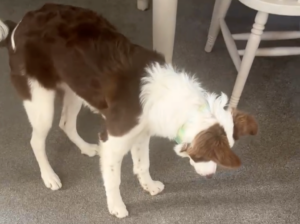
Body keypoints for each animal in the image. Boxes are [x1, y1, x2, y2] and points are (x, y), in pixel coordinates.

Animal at [0, 3, 258, 217]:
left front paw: (149, 186)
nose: (212, 175)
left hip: (75, 87)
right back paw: (49, 176)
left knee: (66, 124)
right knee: (36, 141)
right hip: (40, 102)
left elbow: (143, 164)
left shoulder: (141, 133)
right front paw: (116, 207)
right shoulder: (113, 140)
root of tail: (18, 25)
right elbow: (114, 179)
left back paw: (85, 148)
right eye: (209, 157)